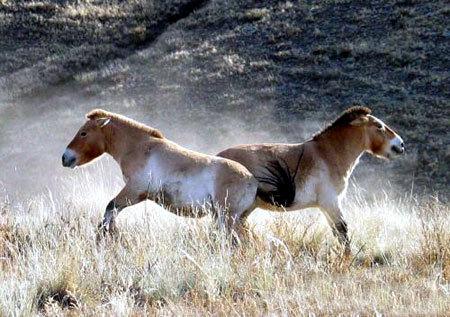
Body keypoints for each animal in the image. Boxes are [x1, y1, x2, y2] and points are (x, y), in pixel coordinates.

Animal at [62, 108, 258, 237]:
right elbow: (112, 212)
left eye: (83, 133)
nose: (65, 158)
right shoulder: (137, 195)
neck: (139, 147)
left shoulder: (134, 191)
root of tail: (251, 180)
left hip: (228, 218)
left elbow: (110, 208)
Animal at [218, 106, 404, 252]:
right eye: (379, 126)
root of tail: (217, 156)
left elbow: (337, 232)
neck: (328, 155)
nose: (400, 145)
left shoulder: (325, 206)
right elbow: (342, 231)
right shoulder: (331, 202)